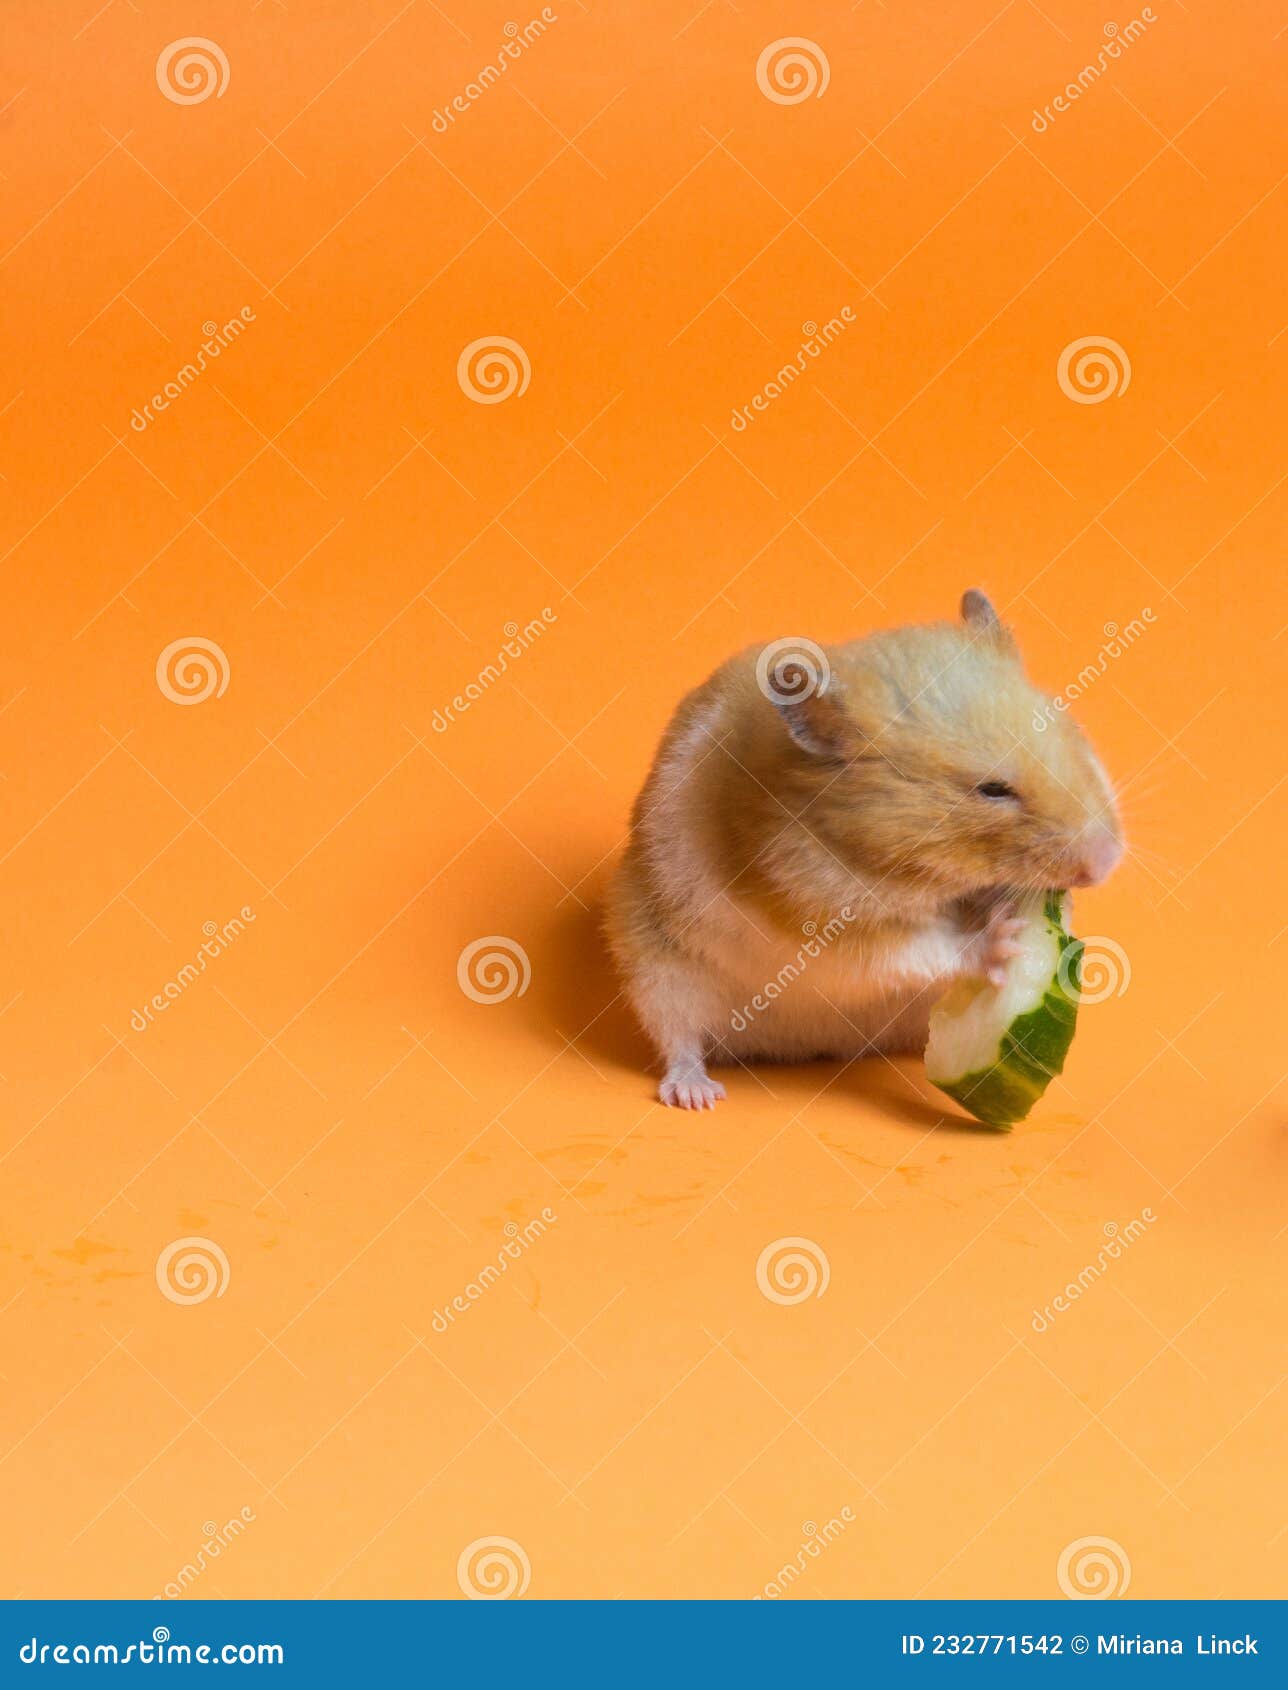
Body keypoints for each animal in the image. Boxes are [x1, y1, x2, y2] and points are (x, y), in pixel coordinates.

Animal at [605, 591, 1123, 1109]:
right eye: (993, 790)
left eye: (1071, 739)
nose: (1105, 863)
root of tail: (798, 1047)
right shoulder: (820, 924)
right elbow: (918, 948)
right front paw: (1003, 942)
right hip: (657, 969)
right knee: (679, 1038)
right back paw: (697, 1093)